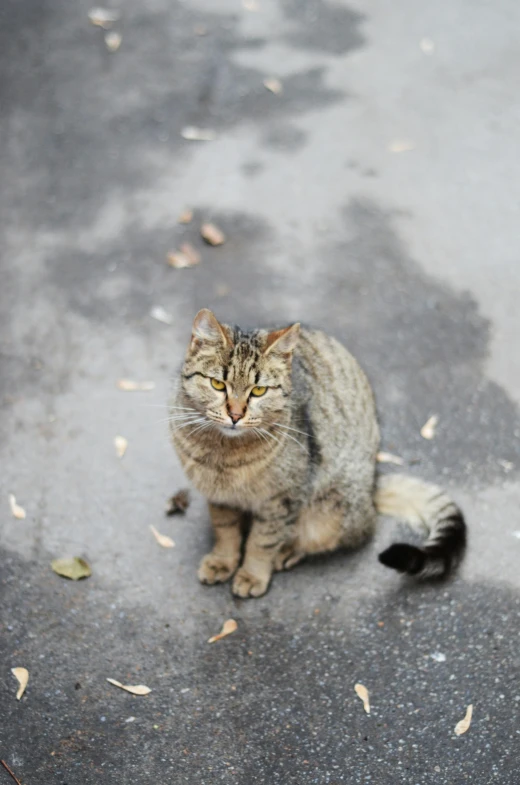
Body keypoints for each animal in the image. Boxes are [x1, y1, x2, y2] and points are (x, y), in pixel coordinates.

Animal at [171, 310, 468, 596]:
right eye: (218, 385)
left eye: (259, 391)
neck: (223, 452)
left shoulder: (282, 499)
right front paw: (223, 561)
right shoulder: (220, 497)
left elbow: (262, 541)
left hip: (329, 509)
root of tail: (371, 484)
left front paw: (253, 574)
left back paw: (288, 550)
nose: (235, 415)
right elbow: (226, 532)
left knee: (343, 534)